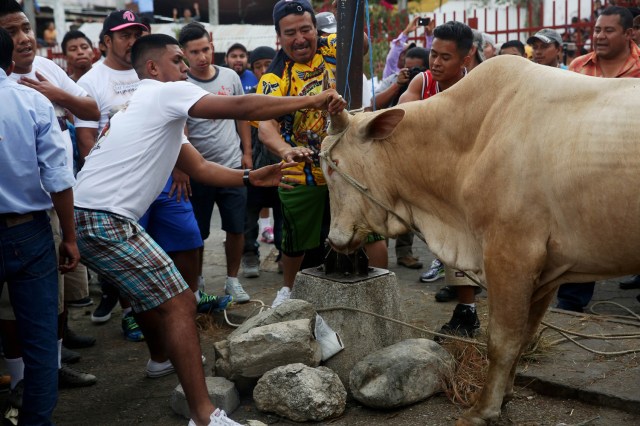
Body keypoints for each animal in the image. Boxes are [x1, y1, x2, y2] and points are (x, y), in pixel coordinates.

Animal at [322, 55, 640, 424]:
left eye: (333, 166)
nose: (333, 239)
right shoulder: (548, 269)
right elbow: (524, 336)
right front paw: (505, 395)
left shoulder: (511, 254)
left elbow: (502, 341)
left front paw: (482, 409)